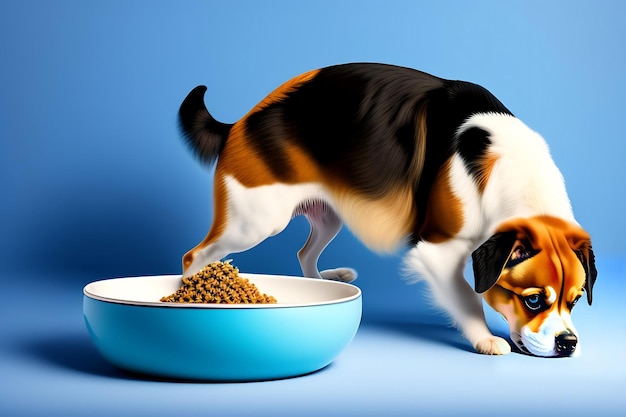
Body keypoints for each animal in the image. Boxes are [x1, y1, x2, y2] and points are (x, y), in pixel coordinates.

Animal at [177, 63, 596, 356]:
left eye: (576, 300)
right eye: (533, 299)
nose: (568, 344)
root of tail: (238, 124)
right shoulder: (436, 252)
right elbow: (466, 297)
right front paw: (483, 338)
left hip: (327, 216)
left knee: (304, 252)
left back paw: (323, 282)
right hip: (257, 221)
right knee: (194, 256)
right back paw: (193, 294)